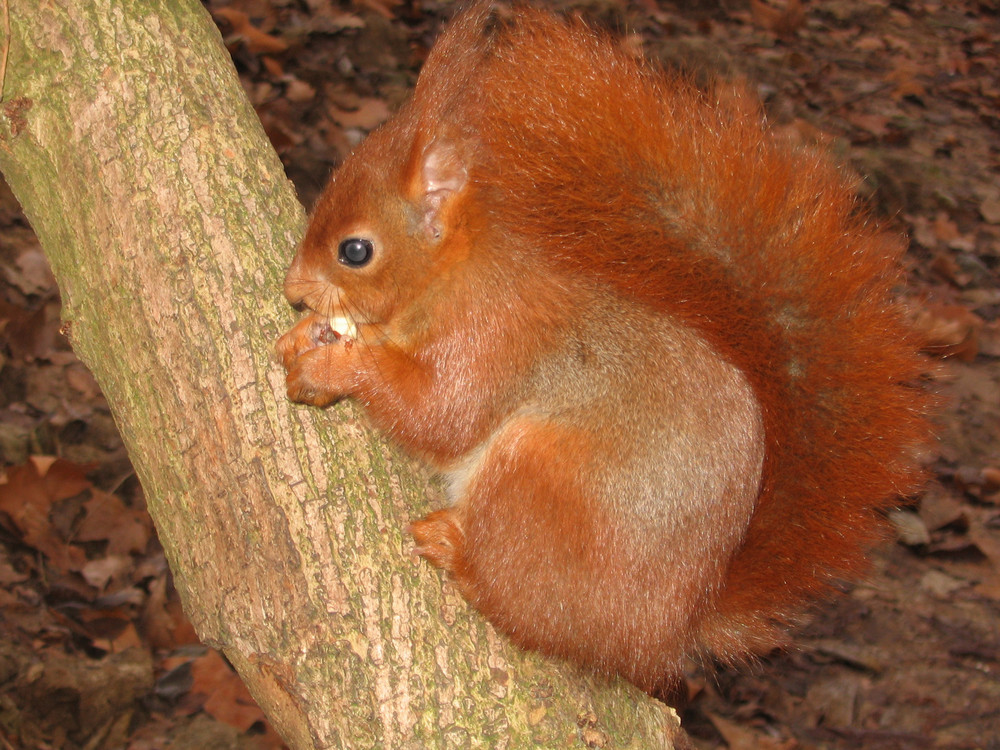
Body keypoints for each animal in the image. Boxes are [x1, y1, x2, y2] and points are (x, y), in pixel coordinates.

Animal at [274, 1, 928, 692]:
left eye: (355, 250)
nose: (292, 289)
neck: (456, 270)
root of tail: (667, 632)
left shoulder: (497, 333)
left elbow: (440, 416)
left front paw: (336, 363)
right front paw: (306, 334)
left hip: (541, 479)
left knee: (527, 610)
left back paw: (460, 553)